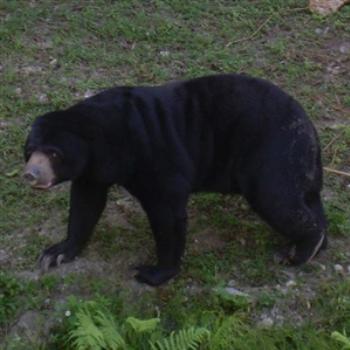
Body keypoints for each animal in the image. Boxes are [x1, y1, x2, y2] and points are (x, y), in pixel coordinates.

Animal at [23, 73, 326, 284]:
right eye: (30, 150)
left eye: (53, 153)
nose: (30, 174)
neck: (103, 138)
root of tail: (309, 127)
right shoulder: (93, 170)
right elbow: (86, 204)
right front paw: (56, 253)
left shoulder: (153, 153)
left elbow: (167, 213)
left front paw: (153, 273)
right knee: (307, 199)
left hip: (272, 153)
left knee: (276, 199)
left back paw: (300, 250)